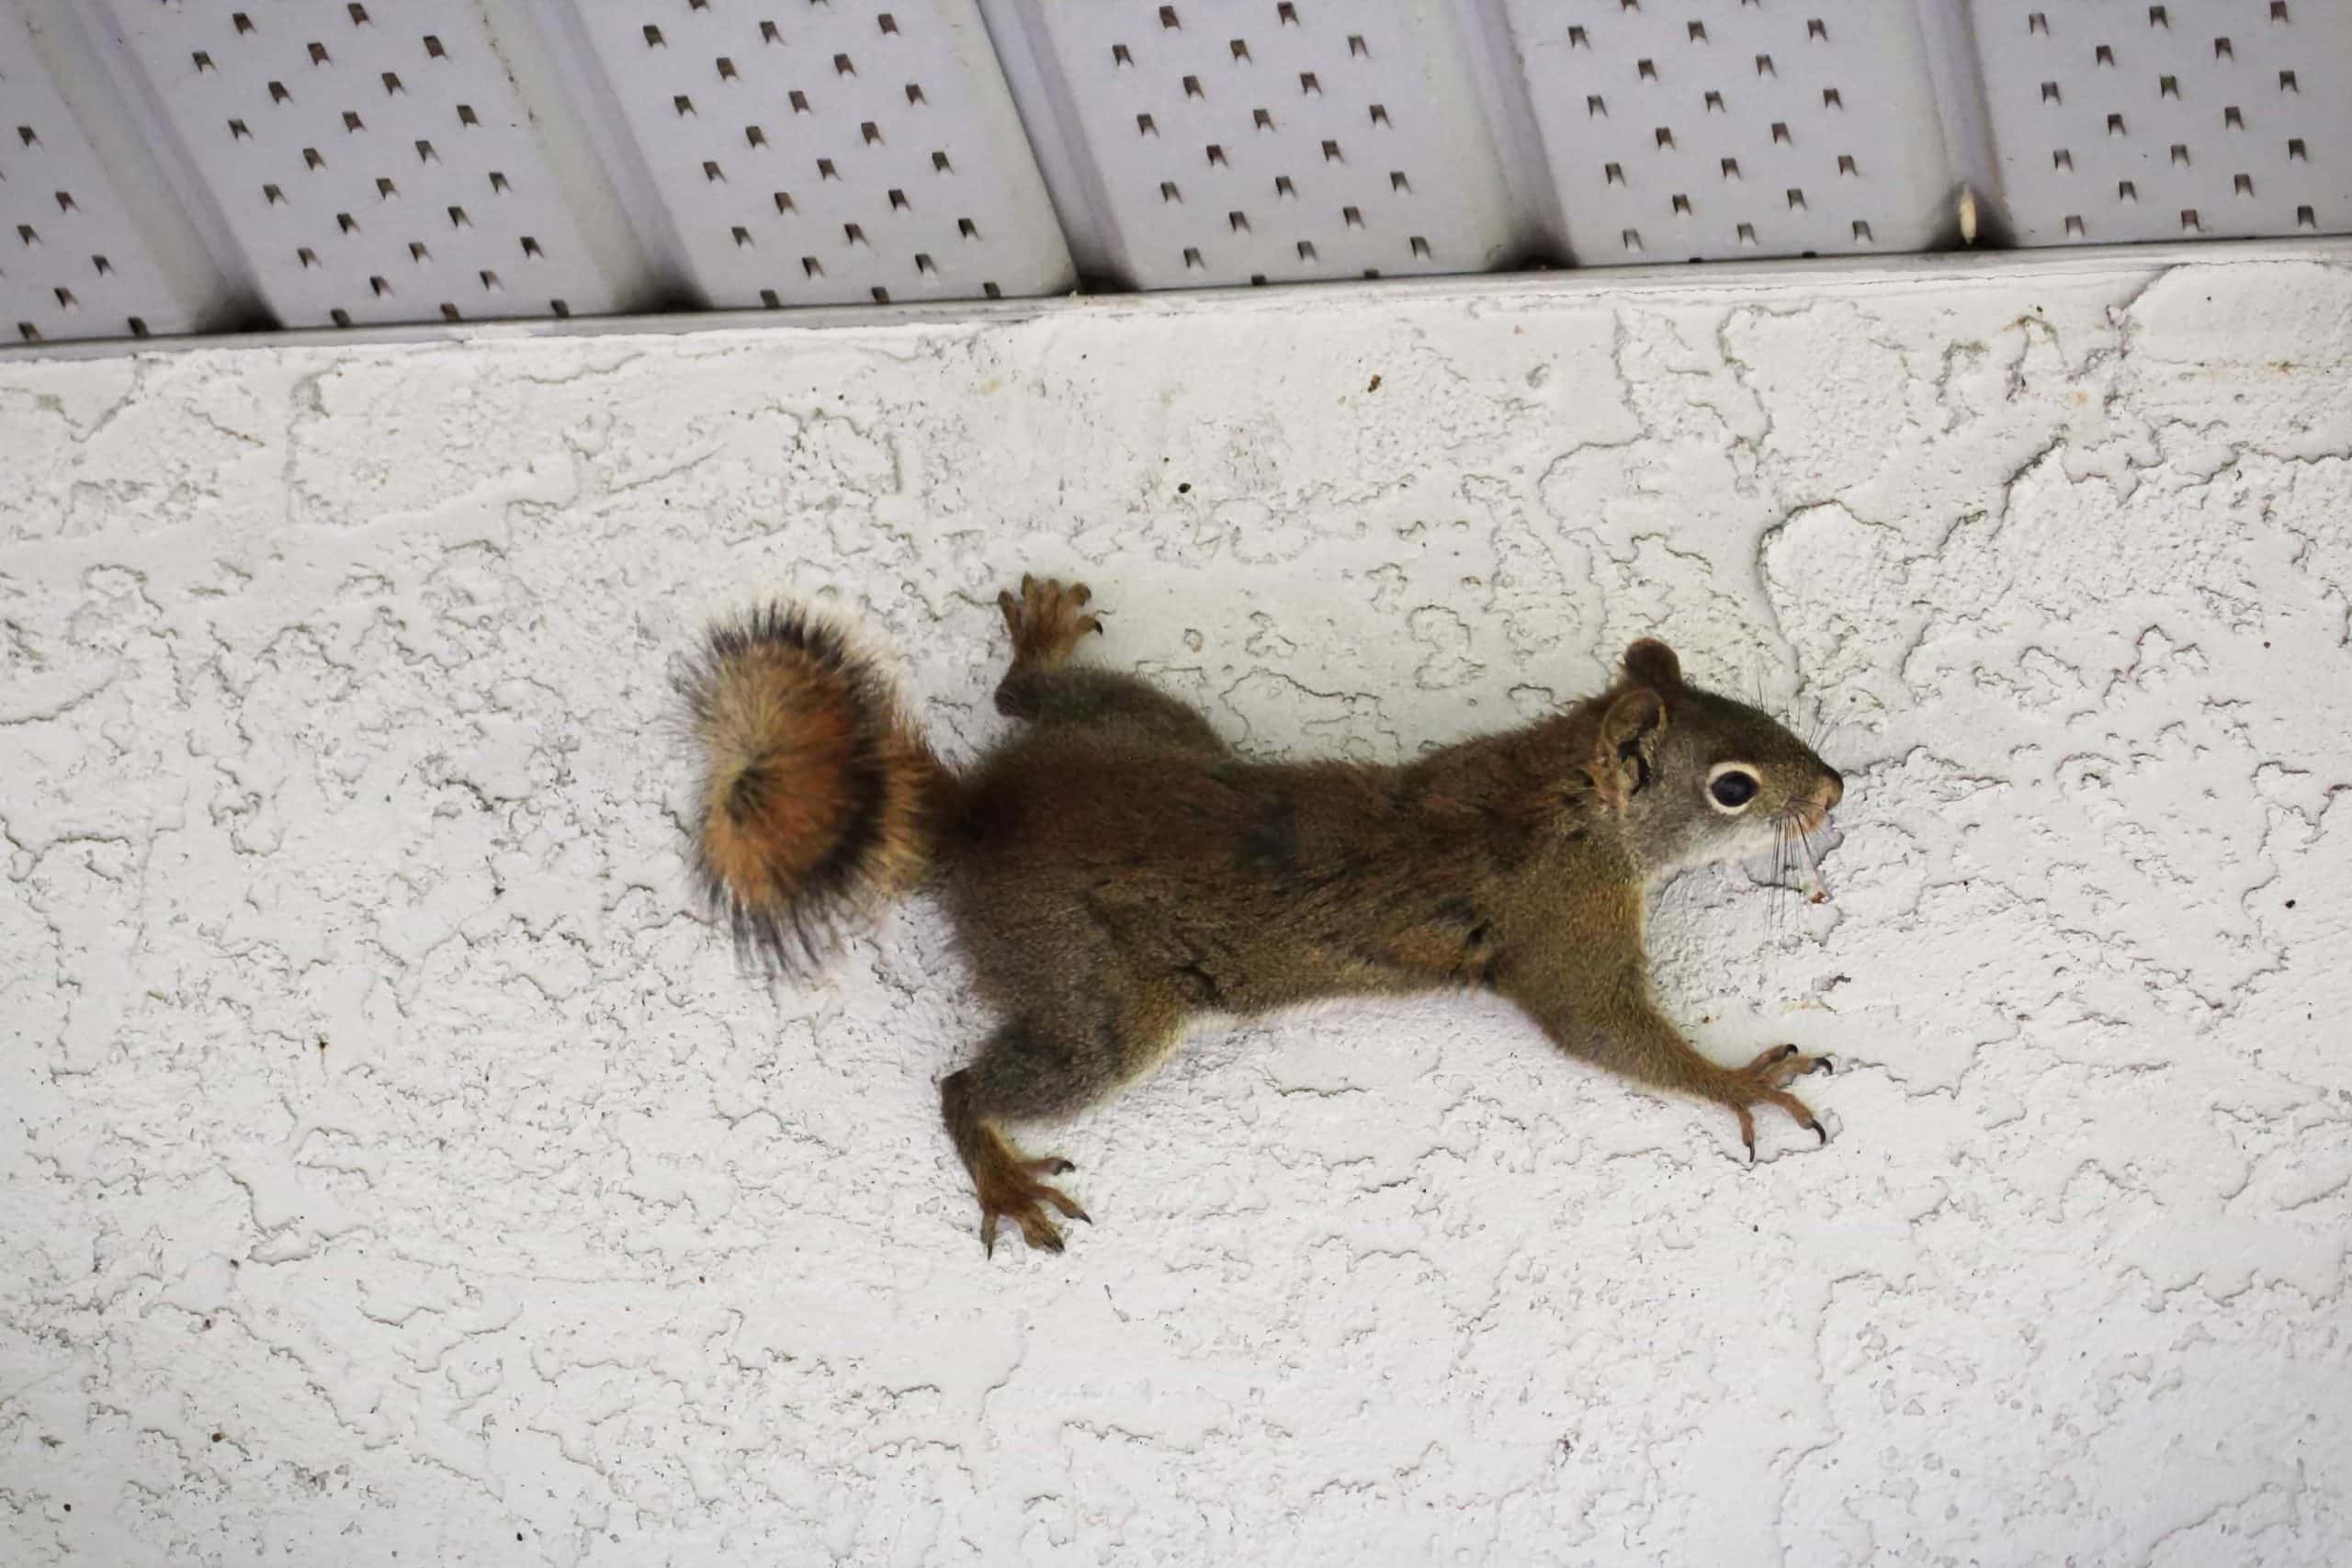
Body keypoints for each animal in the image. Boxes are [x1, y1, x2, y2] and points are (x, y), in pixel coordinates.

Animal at [682, 576, 1845, 1255]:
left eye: (1759, 713)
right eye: (1733, 787)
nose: (1834, 790)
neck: (1561, 794)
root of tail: (979, 816)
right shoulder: (1562, 927)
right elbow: (1602, 1031)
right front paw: (1742, 1080)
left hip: (1150, 728)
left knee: (1024, 703)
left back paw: (1042, 647)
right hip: (1098, 996)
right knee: (970, 1083)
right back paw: (1003, 1175)